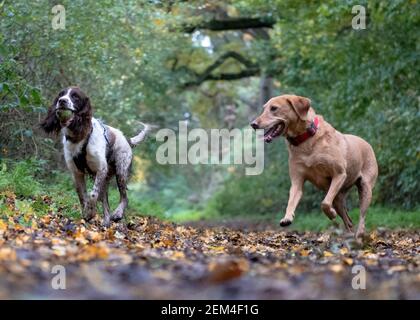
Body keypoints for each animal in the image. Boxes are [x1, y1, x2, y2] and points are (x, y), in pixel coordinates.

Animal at [41, 86, 149, 226]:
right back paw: (106, 222)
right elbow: (83, 196)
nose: (62, 101)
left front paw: (91, 212)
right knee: (105, 202)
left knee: (124, 198)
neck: (79, 136)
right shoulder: (77, 173)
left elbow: (92, 195)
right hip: (106, 180)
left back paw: (117, 214)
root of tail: (127, 139)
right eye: (61, 94)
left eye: (75, 96)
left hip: (121, 171)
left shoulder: (101, 169)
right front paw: (86, 213)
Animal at [251, 94, 378, 239]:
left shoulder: (339, 174)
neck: (306, 140)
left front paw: (331, 214)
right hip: (338, 197)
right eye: (264, 108)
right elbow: (291, 200)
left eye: (274, 108)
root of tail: (366, 143)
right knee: (347, 218)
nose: (253, 124)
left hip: (365, 188)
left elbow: (325, 203)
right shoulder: (297, 181)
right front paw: (287, 217)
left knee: (362, 214)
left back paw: (359, 233)